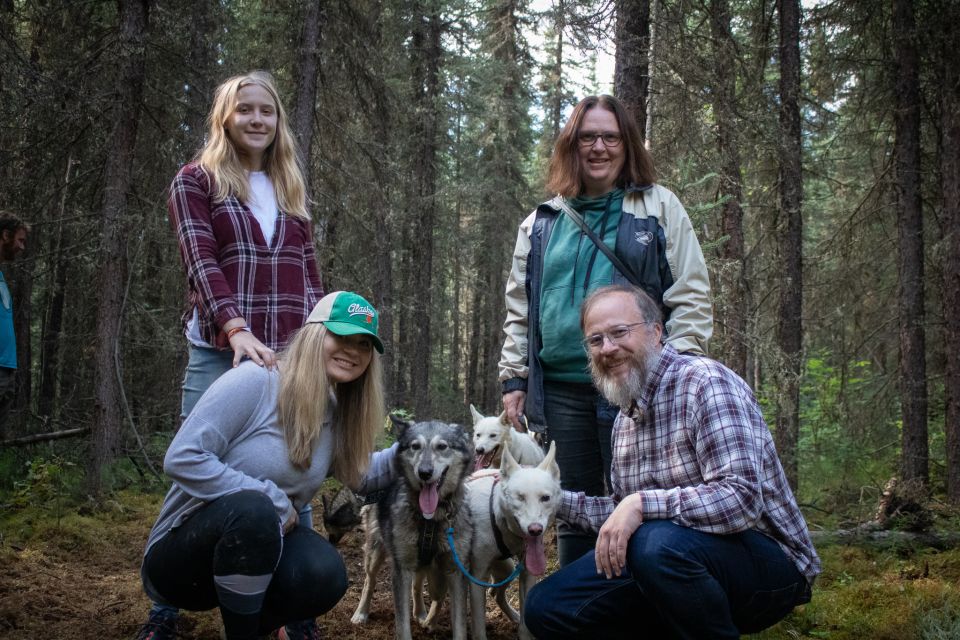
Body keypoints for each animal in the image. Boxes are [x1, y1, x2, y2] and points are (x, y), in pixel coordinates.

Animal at [350, 416, 474, 640]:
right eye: (415, 446)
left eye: (442, 446)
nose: (424, 473)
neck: (431, 520)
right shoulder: (401, 569)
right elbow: (402, 624)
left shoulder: (455, 570)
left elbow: (459, 626)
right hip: (375, 552)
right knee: (368, 582)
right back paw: (361, 613)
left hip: (422, 564)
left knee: (417, 586)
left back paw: (420, 612)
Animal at [460, 440, 564, 640]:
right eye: (520, 497)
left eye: (545, 498)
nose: (535, 530)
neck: (498, 518)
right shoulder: (478, 577)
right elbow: (479, 626)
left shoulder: (527, 573)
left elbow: (525, 622)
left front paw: (523, 631)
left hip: (507, 569)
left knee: (496, 594)